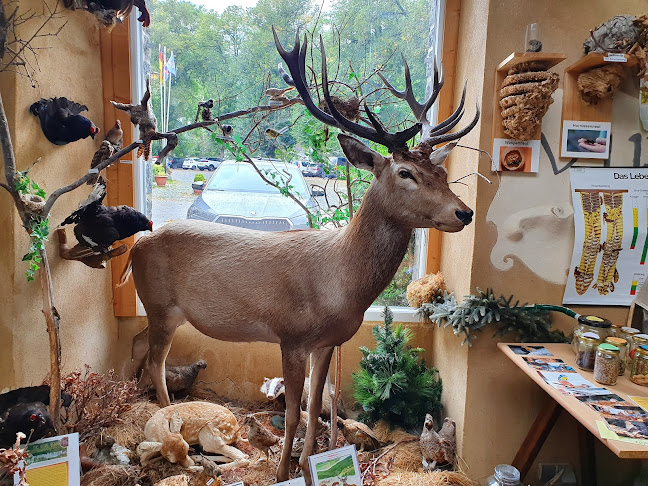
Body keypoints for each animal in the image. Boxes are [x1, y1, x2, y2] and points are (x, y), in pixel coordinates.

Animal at [123, 32, 476, 484]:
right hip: (160, 305)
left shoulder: (326, 342)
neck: (341, 283)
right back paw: (167, 415)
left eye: (443, 174)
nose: (464, 213)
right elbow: (292, 411)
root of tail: (136, 245)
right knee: (155, 359)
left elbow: (314, 409)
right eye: (405, 173)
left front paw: (310, 463)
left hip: (164, 310)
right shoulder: (290, 336)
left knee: (139, 346)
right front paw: (281, 470)